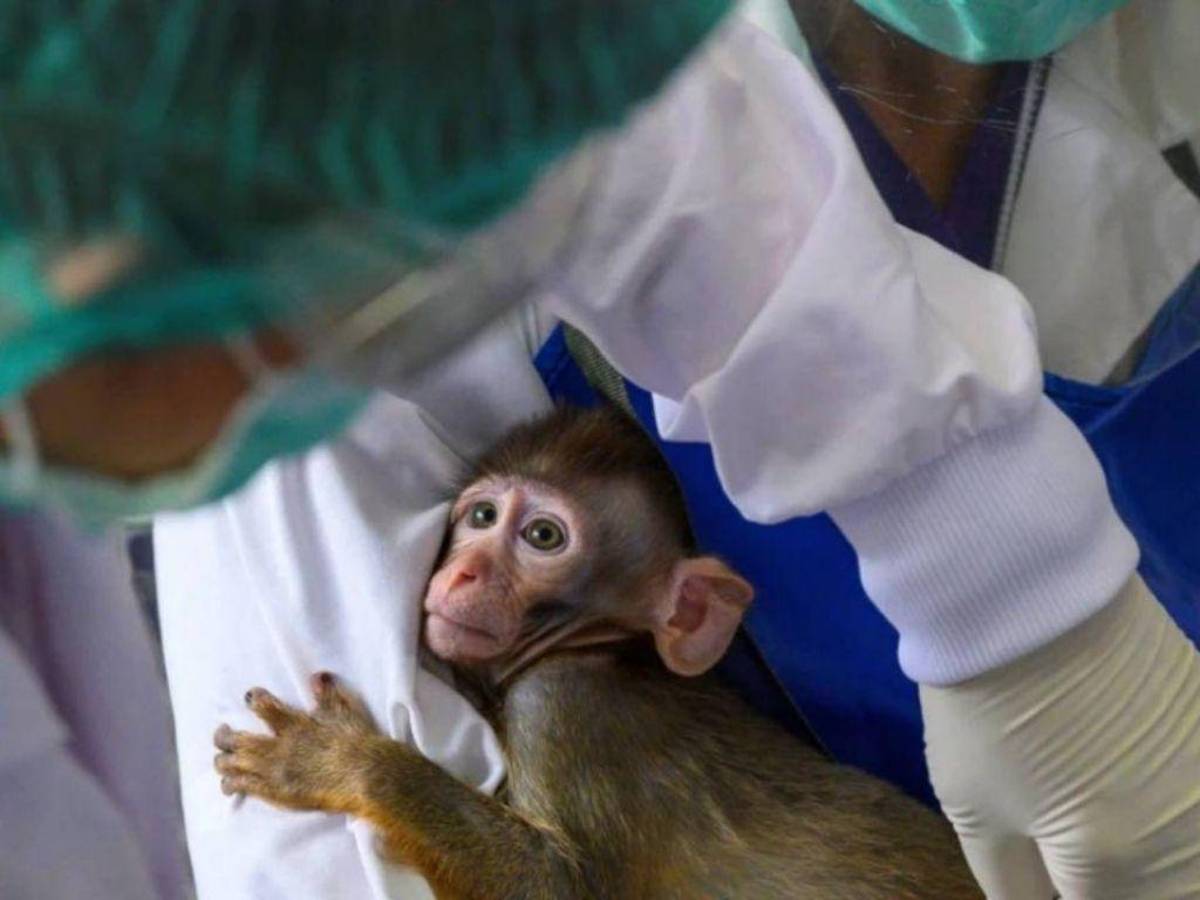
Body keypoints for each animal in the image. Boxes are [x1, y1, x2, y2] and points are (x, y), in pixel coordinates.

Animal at [213, 405, 982, 900]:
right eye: (482, 516)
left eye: (543, 537)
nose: (461, 575)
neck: (602, 650)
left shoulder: (561, 708)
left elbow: (557, 886)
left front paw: (340, 761)